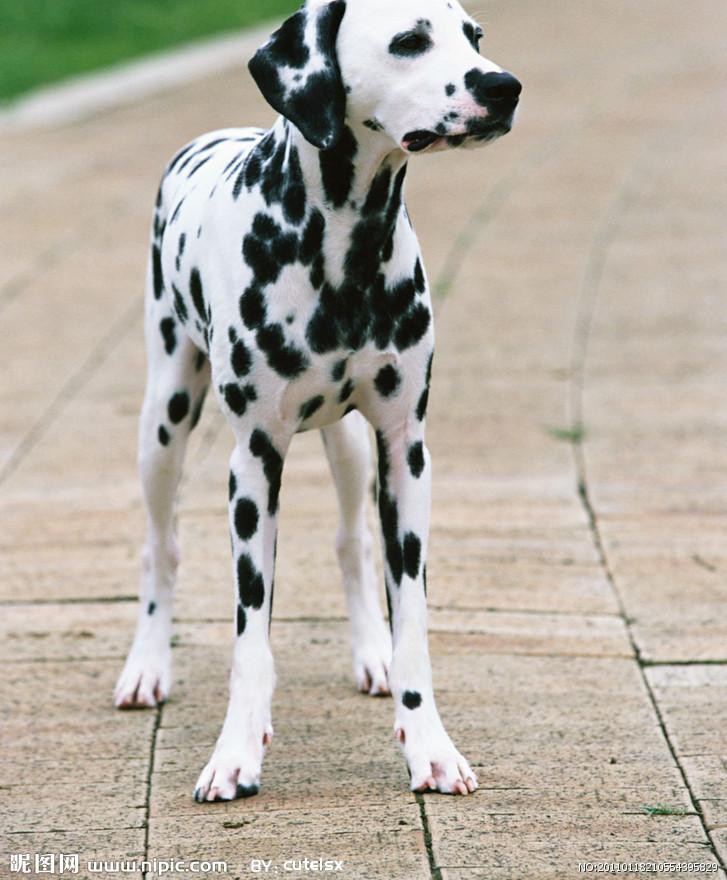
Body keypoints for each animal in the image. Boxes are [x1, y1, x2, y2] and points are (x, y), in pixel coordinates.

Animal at [114, 0, 520, 800]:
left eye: (476, 36)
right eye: (409, 41)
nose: (504, 86)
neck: (344, 249)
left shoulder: (406, 454)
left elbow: (412, 617)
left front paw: (428, 744)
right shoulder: (252, 465)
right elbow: (250, 637)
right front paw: (235, 754)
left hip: (352, 447)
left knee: (351, 543)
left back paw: (371, 653)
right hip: (164, 423)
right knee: (159, 547)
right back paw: (147, 666)